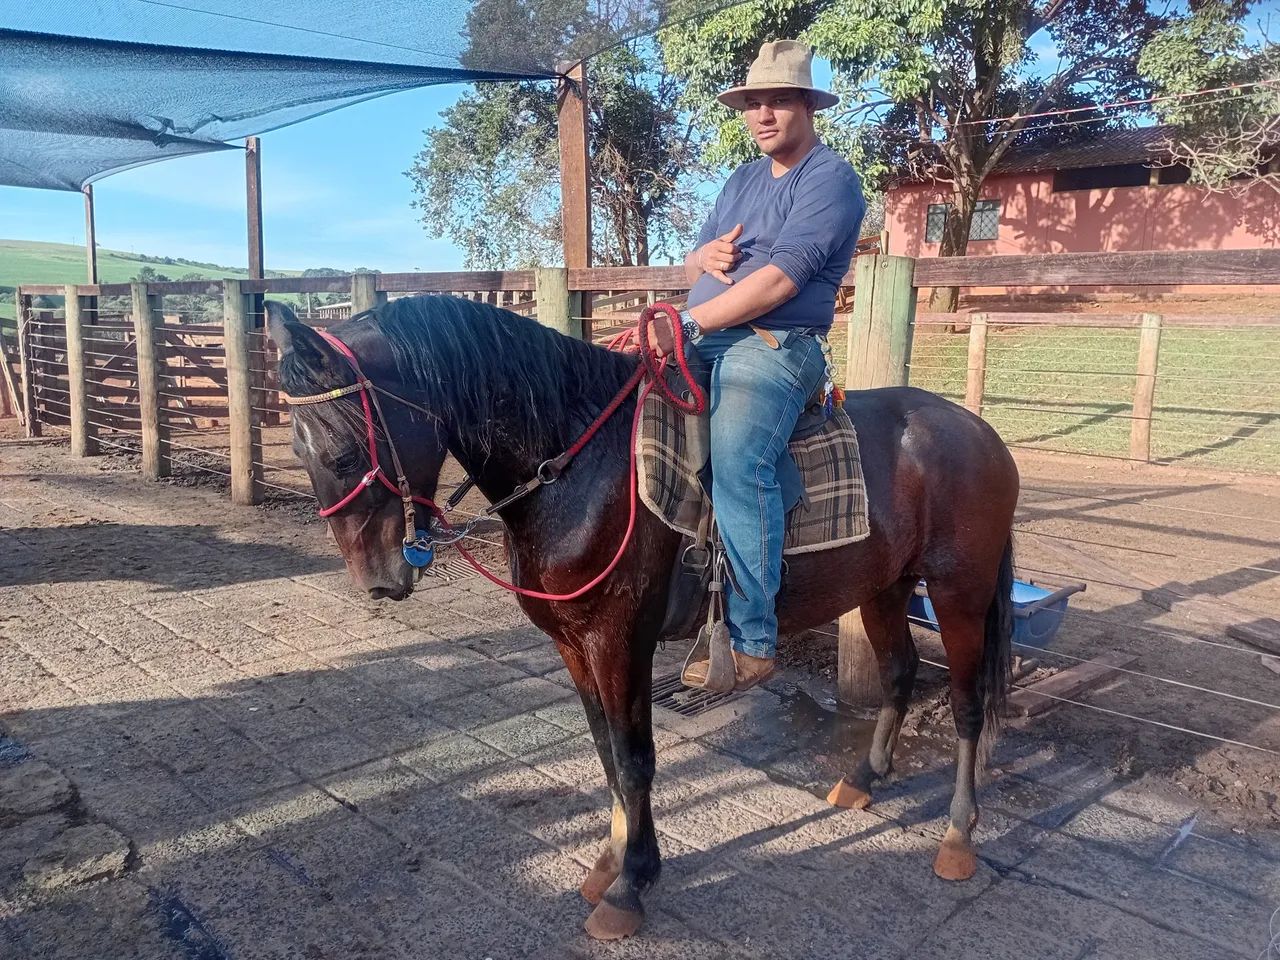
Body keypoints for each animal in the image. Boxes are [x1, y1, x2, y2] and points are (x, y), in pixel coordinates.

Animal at [266, 294, 1019, 941]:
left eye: (342, 453)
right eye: (299, 453)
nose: (377, 579)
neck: (579, 467)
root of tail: (979, 432)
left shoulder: (620, 639)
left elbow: (634, 759)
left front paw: (631, 885)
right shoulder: (574, 644)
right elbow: (605, 752)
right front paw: (611, 861)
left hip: (957, 591)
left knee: (966, 707)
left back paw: (958, 835)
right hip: (886, 587)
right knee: (898, 676)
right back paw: (862, 781)